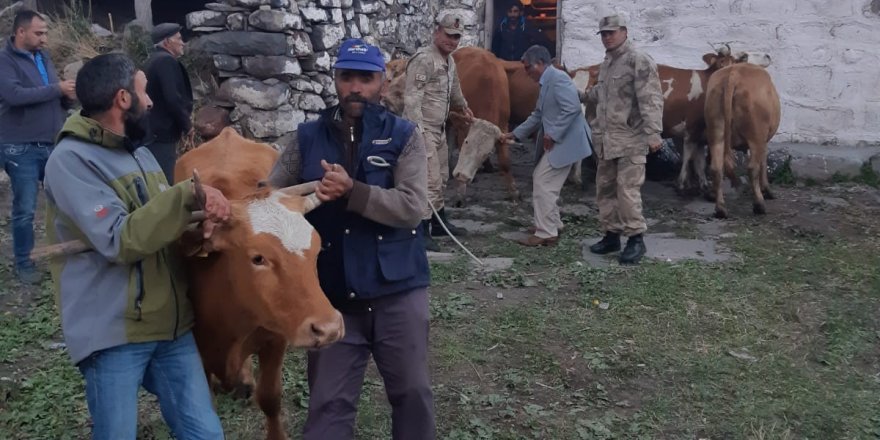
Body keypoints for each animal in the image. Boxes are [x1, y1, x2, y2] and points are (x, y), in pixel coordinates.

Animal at [704, 63, 780, 218]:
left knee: (716, 168)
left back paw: (720, 208)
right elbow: (763, 163)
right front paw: (767, 190)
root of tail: (734, 73)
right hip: (756, 134)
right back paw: (759, 204)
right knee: (752, 167)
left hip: (716, 131)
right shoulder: (763, 140)